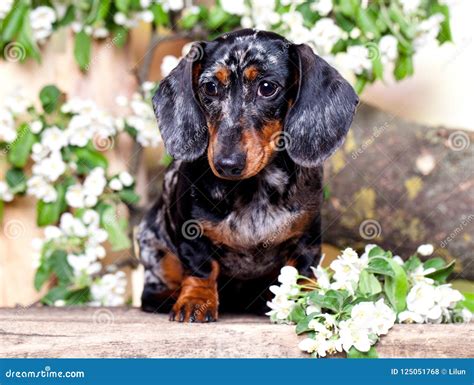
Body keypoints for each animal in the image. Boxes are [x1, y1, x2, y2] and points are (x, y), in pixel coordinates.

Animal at [139, 28, 358, 320]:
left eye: (267, 87)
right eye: (210, 87)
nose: (226, 164)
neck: (254, 190)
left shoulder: (307, 239)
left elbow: (301, 274)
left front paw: (306, 302)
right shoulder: (192, 234)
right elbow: (201, 268)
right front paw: (196, 300)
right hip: (152, 246)